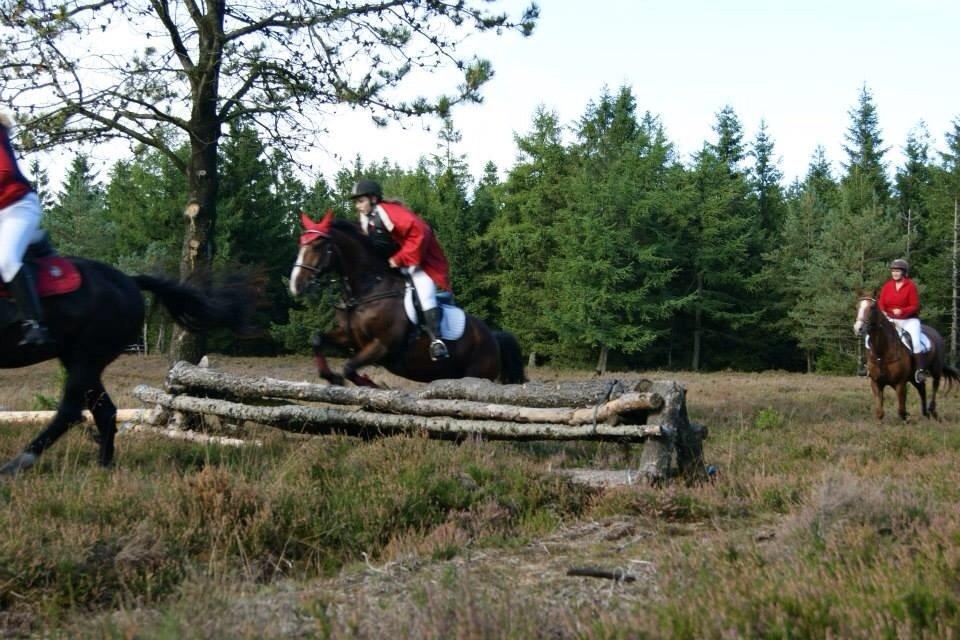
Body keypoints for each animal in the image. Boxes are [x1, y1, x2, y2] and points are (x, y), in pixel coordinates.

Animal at [288, 212, 524, 388]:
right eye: (300, 244)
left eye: (318, 245)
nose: (295, 285)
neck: (367, 291)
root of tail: (492, 336)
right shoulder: (350, 338)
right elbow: (317, 339)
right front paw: (331, 377)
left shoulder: (382, 345)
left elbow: (349, 367)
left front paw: (374, 386)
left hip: (477, 374)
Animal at [852, 292, 956, 422]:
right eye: (857, 307)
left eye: (872, 307)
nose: (858, 328)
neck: (882, 352)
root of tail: (936, 333)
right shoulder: (876, 383)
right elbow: (880, 412)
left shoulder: (900, 383)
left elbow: (901, 410)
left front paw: (906, 418)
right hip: (913, 378)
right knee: (922, 388)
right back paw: (925, 413)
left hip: (936, 370)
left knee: (935, 386)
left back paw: (932, 411)